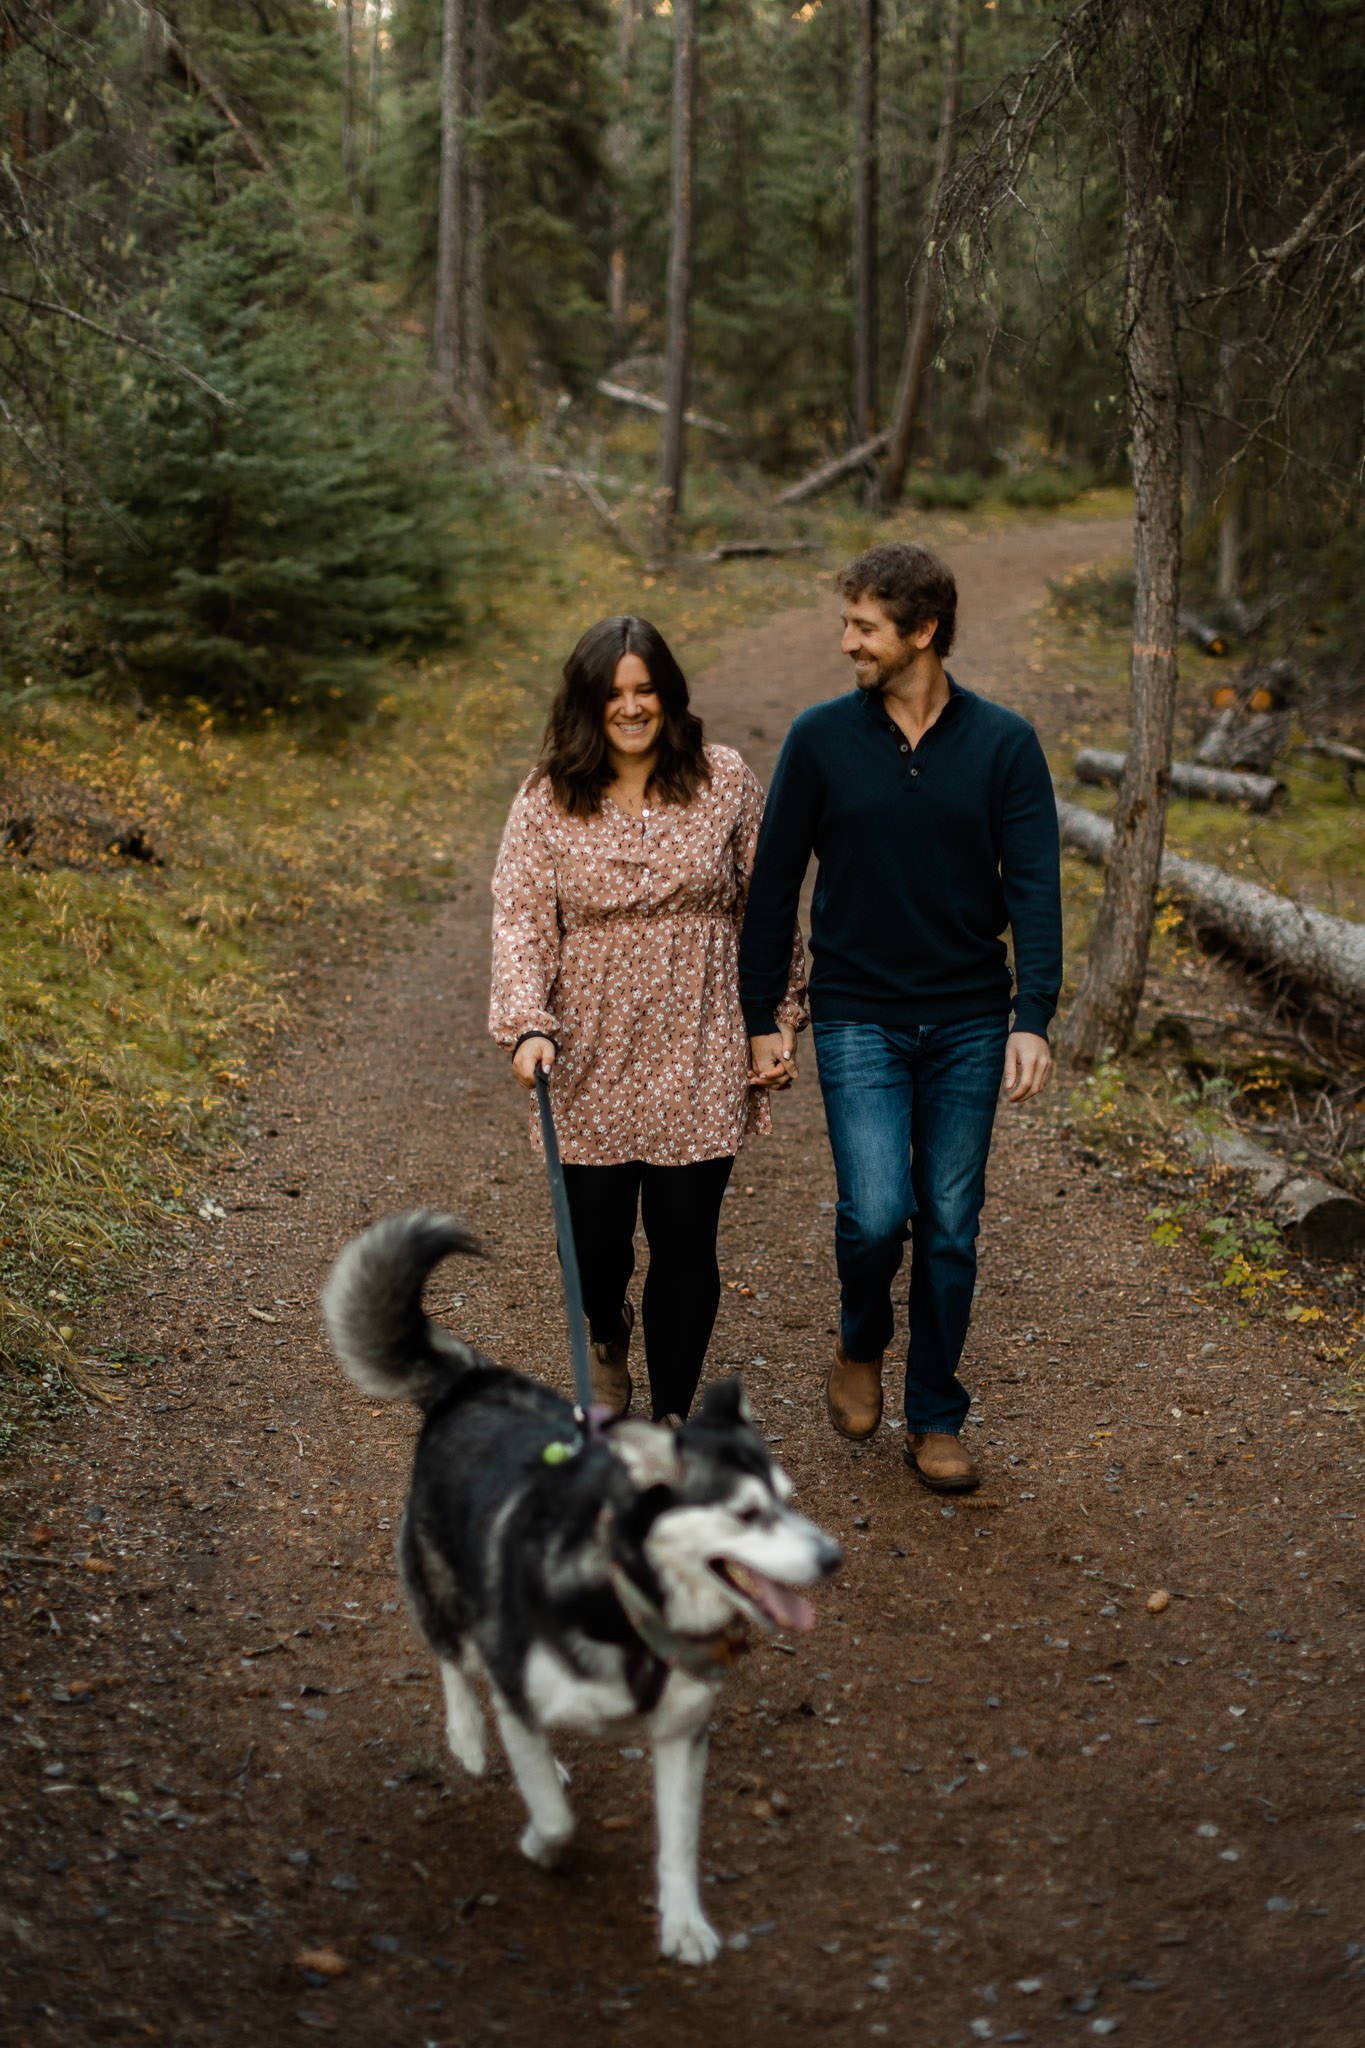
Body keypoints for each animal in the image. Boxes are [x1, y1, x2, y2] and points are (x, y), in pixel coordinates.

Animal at [323, 1204, 843, 1957]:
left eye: (789, 1499)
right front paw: (542, 1843)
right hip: (442, 1583)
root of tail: (473, 1382)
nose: (831, 1557)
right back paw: (470, 1737)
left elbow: (678, 1843)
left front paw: (684, 1924)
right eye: (746, 1513)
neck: (628, 1605)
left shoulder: (682, 1733)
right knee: (455, 1659)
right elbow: (556, 1815)